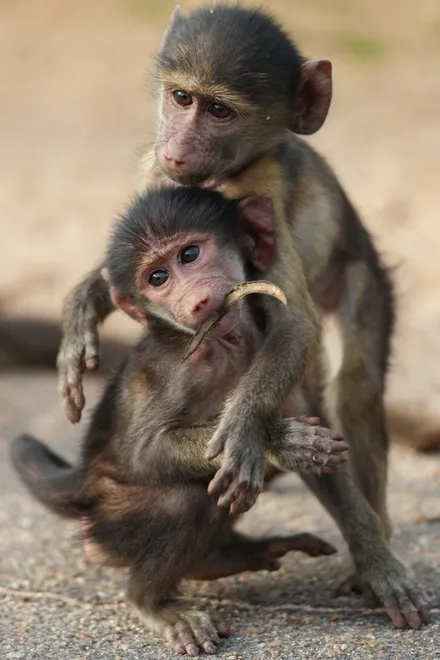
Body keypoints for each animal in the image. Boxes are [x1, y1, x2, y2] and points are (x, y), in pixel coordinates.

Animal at [11, 186, 351, 656]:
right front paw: (282, 442)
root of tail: (82, 481)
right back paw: (152, 601)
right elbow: (144, 453)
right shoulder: (180, 367)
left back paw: (224, 556)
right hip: (111, 521)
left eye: (189, 254)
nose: (197, 300)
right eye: (157, 278)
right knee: (182, 500)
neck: (227, 341)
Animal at [54, 5, 426, 612]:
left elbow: (294, 323)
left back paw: (373, 553)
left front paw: (247, 429)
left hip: (360, 272)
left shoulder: (265, 188)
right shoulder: (154, 175)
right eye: (182, 98)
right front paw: (84, 306)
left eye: (220, 111)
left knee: (353, 385)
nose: (177, 149)